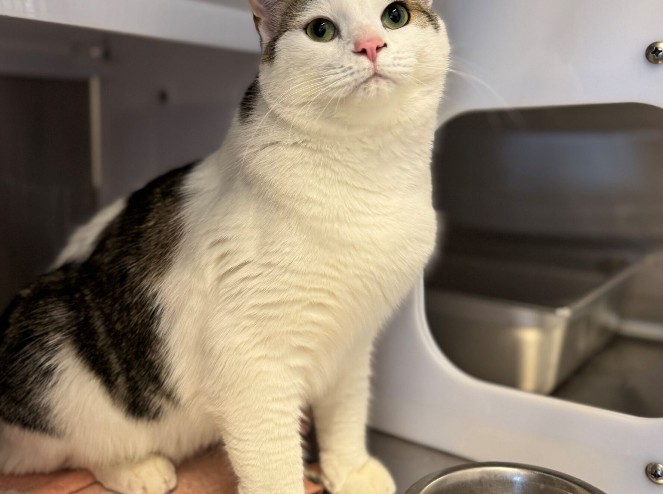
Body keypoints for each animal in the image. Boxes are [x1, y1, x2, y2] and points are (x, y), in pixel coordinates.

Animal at [0, 1, 449, 493]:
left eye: (395, 15)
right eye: (321, 30)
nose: (370, 45)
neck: (366, 177)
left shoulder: (352, 341)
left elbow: (347, 410)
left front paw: (349, 470)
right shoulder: (251, 359)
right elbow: (273, 466)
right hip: (51, 328)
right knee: (68, 452)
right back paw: (138, 468)